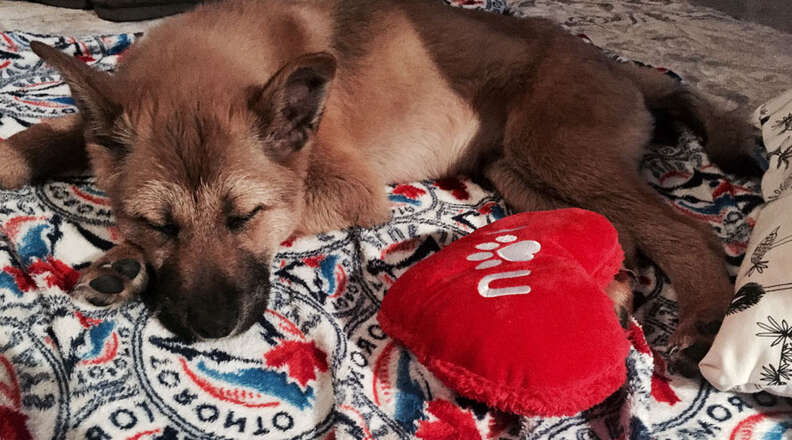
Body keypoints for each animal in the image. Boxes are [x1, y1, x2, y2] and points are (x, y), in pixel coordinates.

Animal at [0, 0, 756, 374]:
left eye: (246, 216)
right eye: (160, 224)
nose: (213, 329)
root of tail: (620, 67)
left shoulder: (352, 187)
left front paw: (120, 261)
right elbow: (51, 134)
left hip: (557, 150)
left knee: (688, 230)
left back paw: (703, 322)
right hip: (516, 170)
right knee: (623, 233)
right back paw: (618, 282)